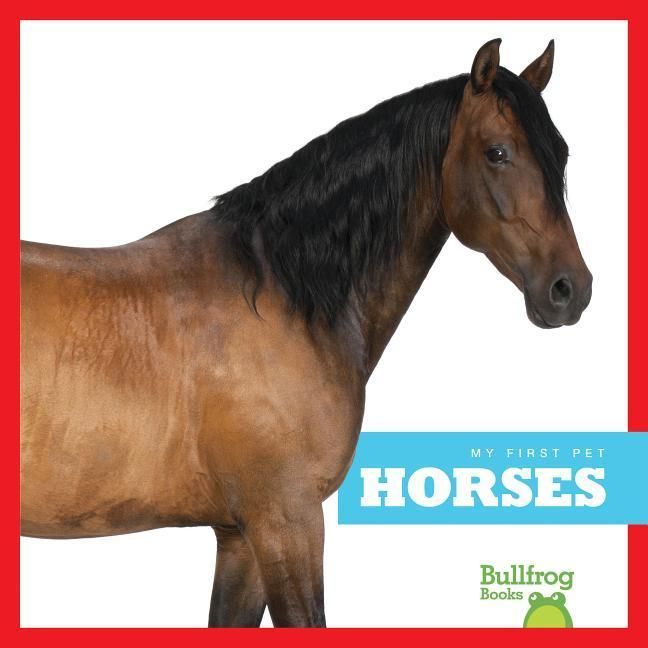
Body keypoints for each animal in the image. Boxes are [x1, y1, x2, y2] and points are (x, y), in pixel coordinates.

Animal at [20, 39, 592, 627]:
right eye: (497, 152)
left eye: (561, 153)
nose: (569, 289)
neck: (281, 292)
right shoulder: (287, 521)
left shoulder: (240, 538)